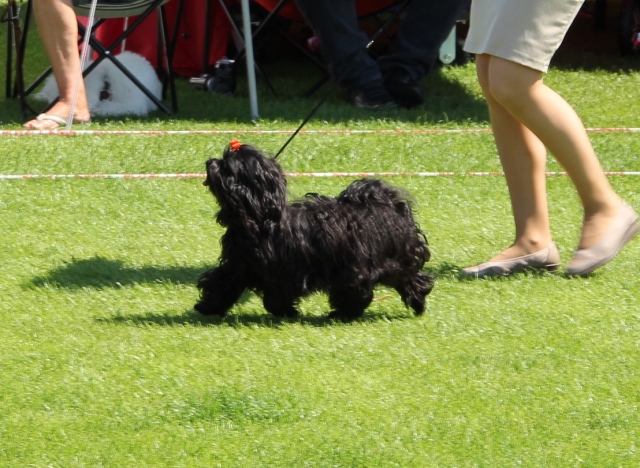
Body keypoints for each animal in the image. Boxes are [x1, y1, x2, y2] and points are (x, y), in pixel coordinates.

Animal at [195, 141, 436, 320]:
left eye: (227, 167)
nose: (210, 162)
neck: (261, 218)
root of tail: (391, 206)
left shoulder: (282, 271)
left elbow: (276, 293)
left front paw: (285, 311)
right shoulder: (238, 265)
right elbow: (222, 283)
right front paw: (208, 306)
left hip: (363, 266)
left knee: (361, 289)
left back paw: (344, 313)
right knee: (411, 279)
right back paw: (418, 302)